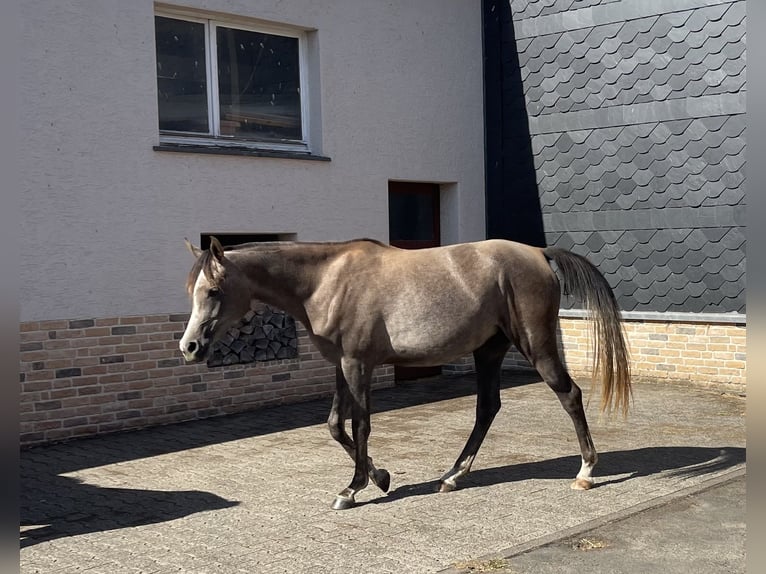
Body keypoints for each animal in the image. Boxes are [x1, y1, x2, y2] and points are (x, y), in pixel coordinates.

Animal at [179, 236, 631, 509]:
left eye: (214, 290)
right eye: (192, 292)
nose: (189, 347)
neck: (326, 281)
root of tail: (537, 252)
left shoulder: (357, 364)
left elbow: (360, 425)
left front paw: (353, 488)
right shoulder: (342, 365)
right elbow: (335, 425)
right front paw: (380, 476)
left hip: (535, 346)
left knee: (569, 395)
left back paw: (586, 472)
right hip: (489, 351)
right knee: (487, 408)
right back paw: (452, 476)